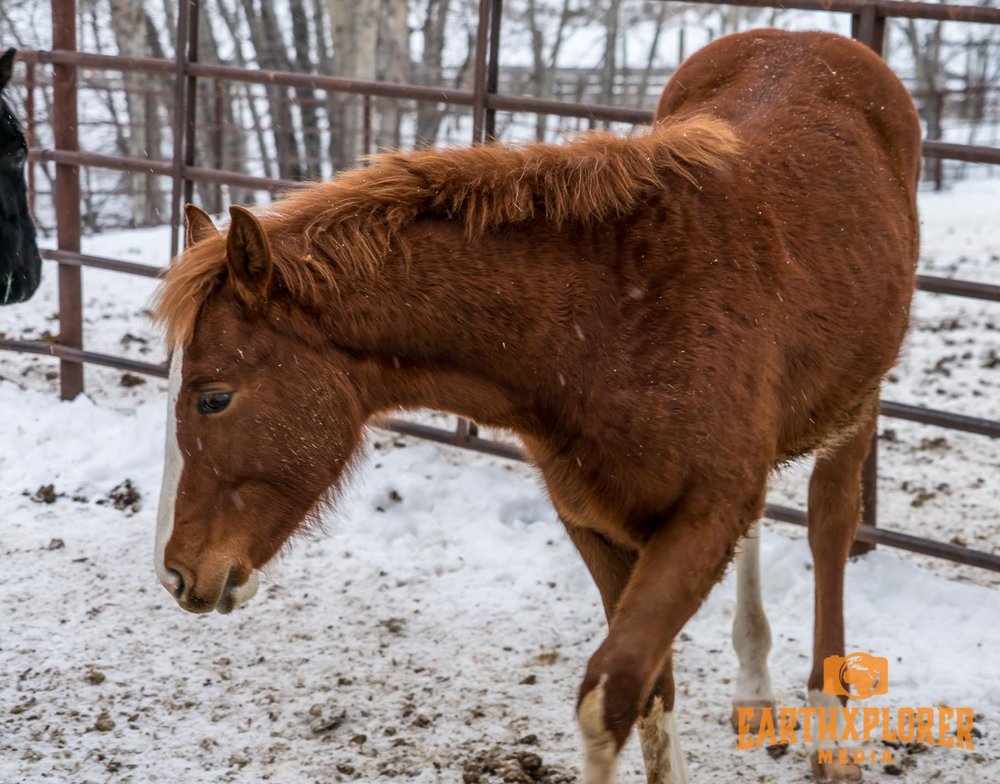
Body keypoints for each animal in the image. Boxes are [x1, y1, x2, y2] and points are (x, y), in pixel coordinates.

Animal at [152, 30, 916, 784]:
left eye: (213, 397)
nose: (177, 573)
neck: (612, 325)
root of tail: (807, 38)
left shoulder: (703, 516)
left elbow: (611, 697)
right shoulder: (598, 522)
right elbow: (651, 694)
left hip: (859, 397)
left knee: (830, 523)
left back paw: (831, 734)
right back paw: (754, 686)